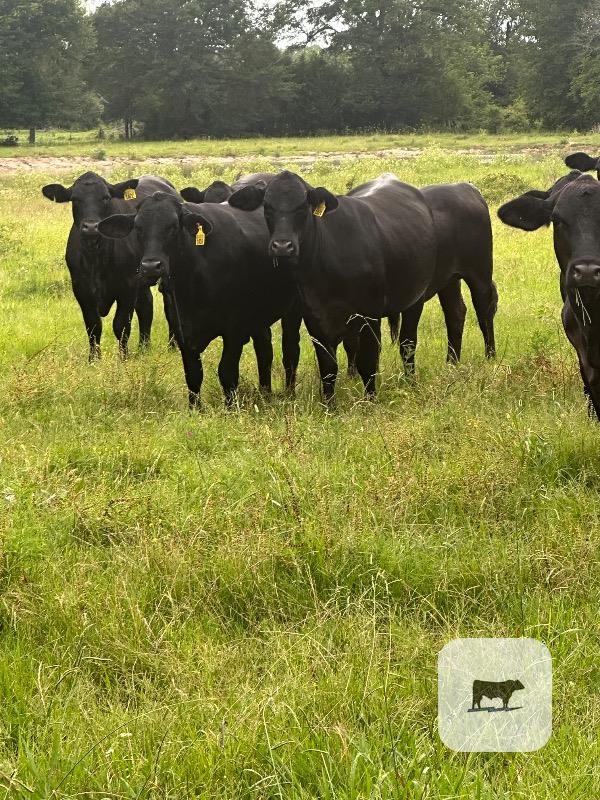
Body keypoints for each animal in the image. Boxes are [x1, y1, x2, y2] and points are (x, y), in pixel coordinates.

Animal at [42, 172, 179, 359]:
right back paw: (144, 348)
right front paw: (93, 360)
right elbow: (93, 326)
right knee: (146, 306)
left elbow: (121, 325)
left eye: (105, 197)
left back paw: (172, 346)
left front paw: (124, 358)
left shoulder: (128, 287)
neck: (96, 258)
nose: (91, 227)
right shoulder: (81, 289)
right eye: (75, 199)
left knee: (170, 309)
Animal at [97, 192, 301, 407]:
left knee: (290, 351)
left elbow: (227, 372)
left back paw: (289, 394)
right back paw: (265, 394)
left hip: (293, 310)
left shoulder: (235, 329)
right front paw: (195, 408)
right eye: (138, 227)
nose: (151, 266)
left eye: (173, 226)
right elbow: (193, 374)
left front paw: (230, 407)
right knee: (265, 351)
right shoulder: (181, 330)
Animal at [227, 170, 437, 400]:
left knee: (407, 343)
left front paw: (370, 400)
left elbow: (367, 360)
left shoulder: (368, 314)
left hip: (415, 300)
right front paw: (329, 403)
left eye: (303, 206)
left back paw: (410, 381)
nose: (282, 246)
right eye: (267, 206)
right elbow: (328, 367)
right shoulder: (315, 318)